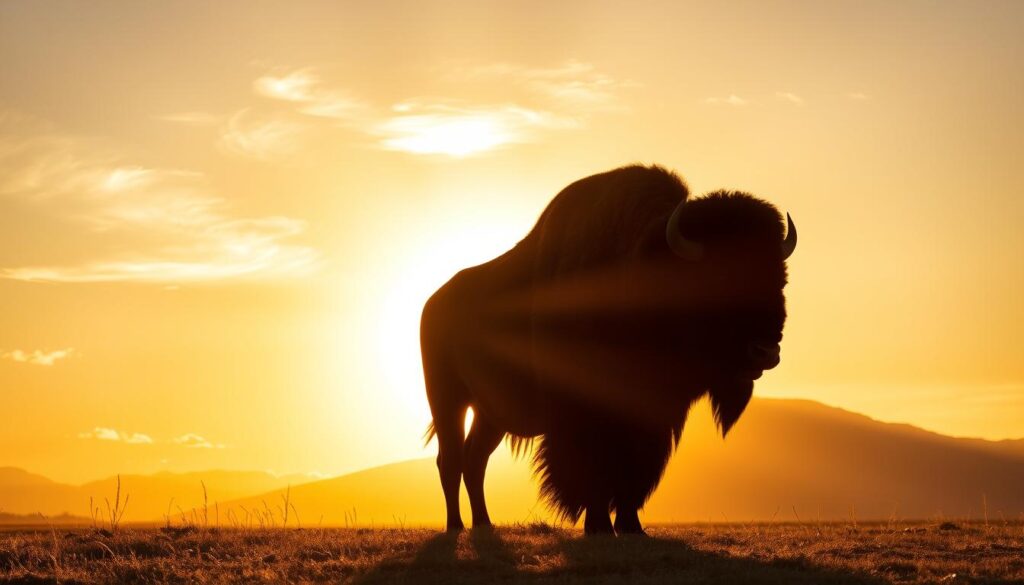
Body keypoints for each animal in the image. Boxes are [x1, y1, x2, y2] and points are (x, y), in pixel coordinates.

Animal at [421, 165, 796, 534]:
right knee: (451, 460)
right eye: (716, 277)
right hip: (448, 400)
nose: (764, 352)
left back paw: (484, 523)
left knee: (475, 460)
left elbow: (635, 470)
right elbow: (593, 468)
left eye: (780, 279)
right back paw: (456, 525)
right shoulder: (584, 415)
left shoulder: (653, 416)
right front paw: (599, 525)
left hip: (489, 416)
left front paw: (632, 526)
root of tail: (433, 303)